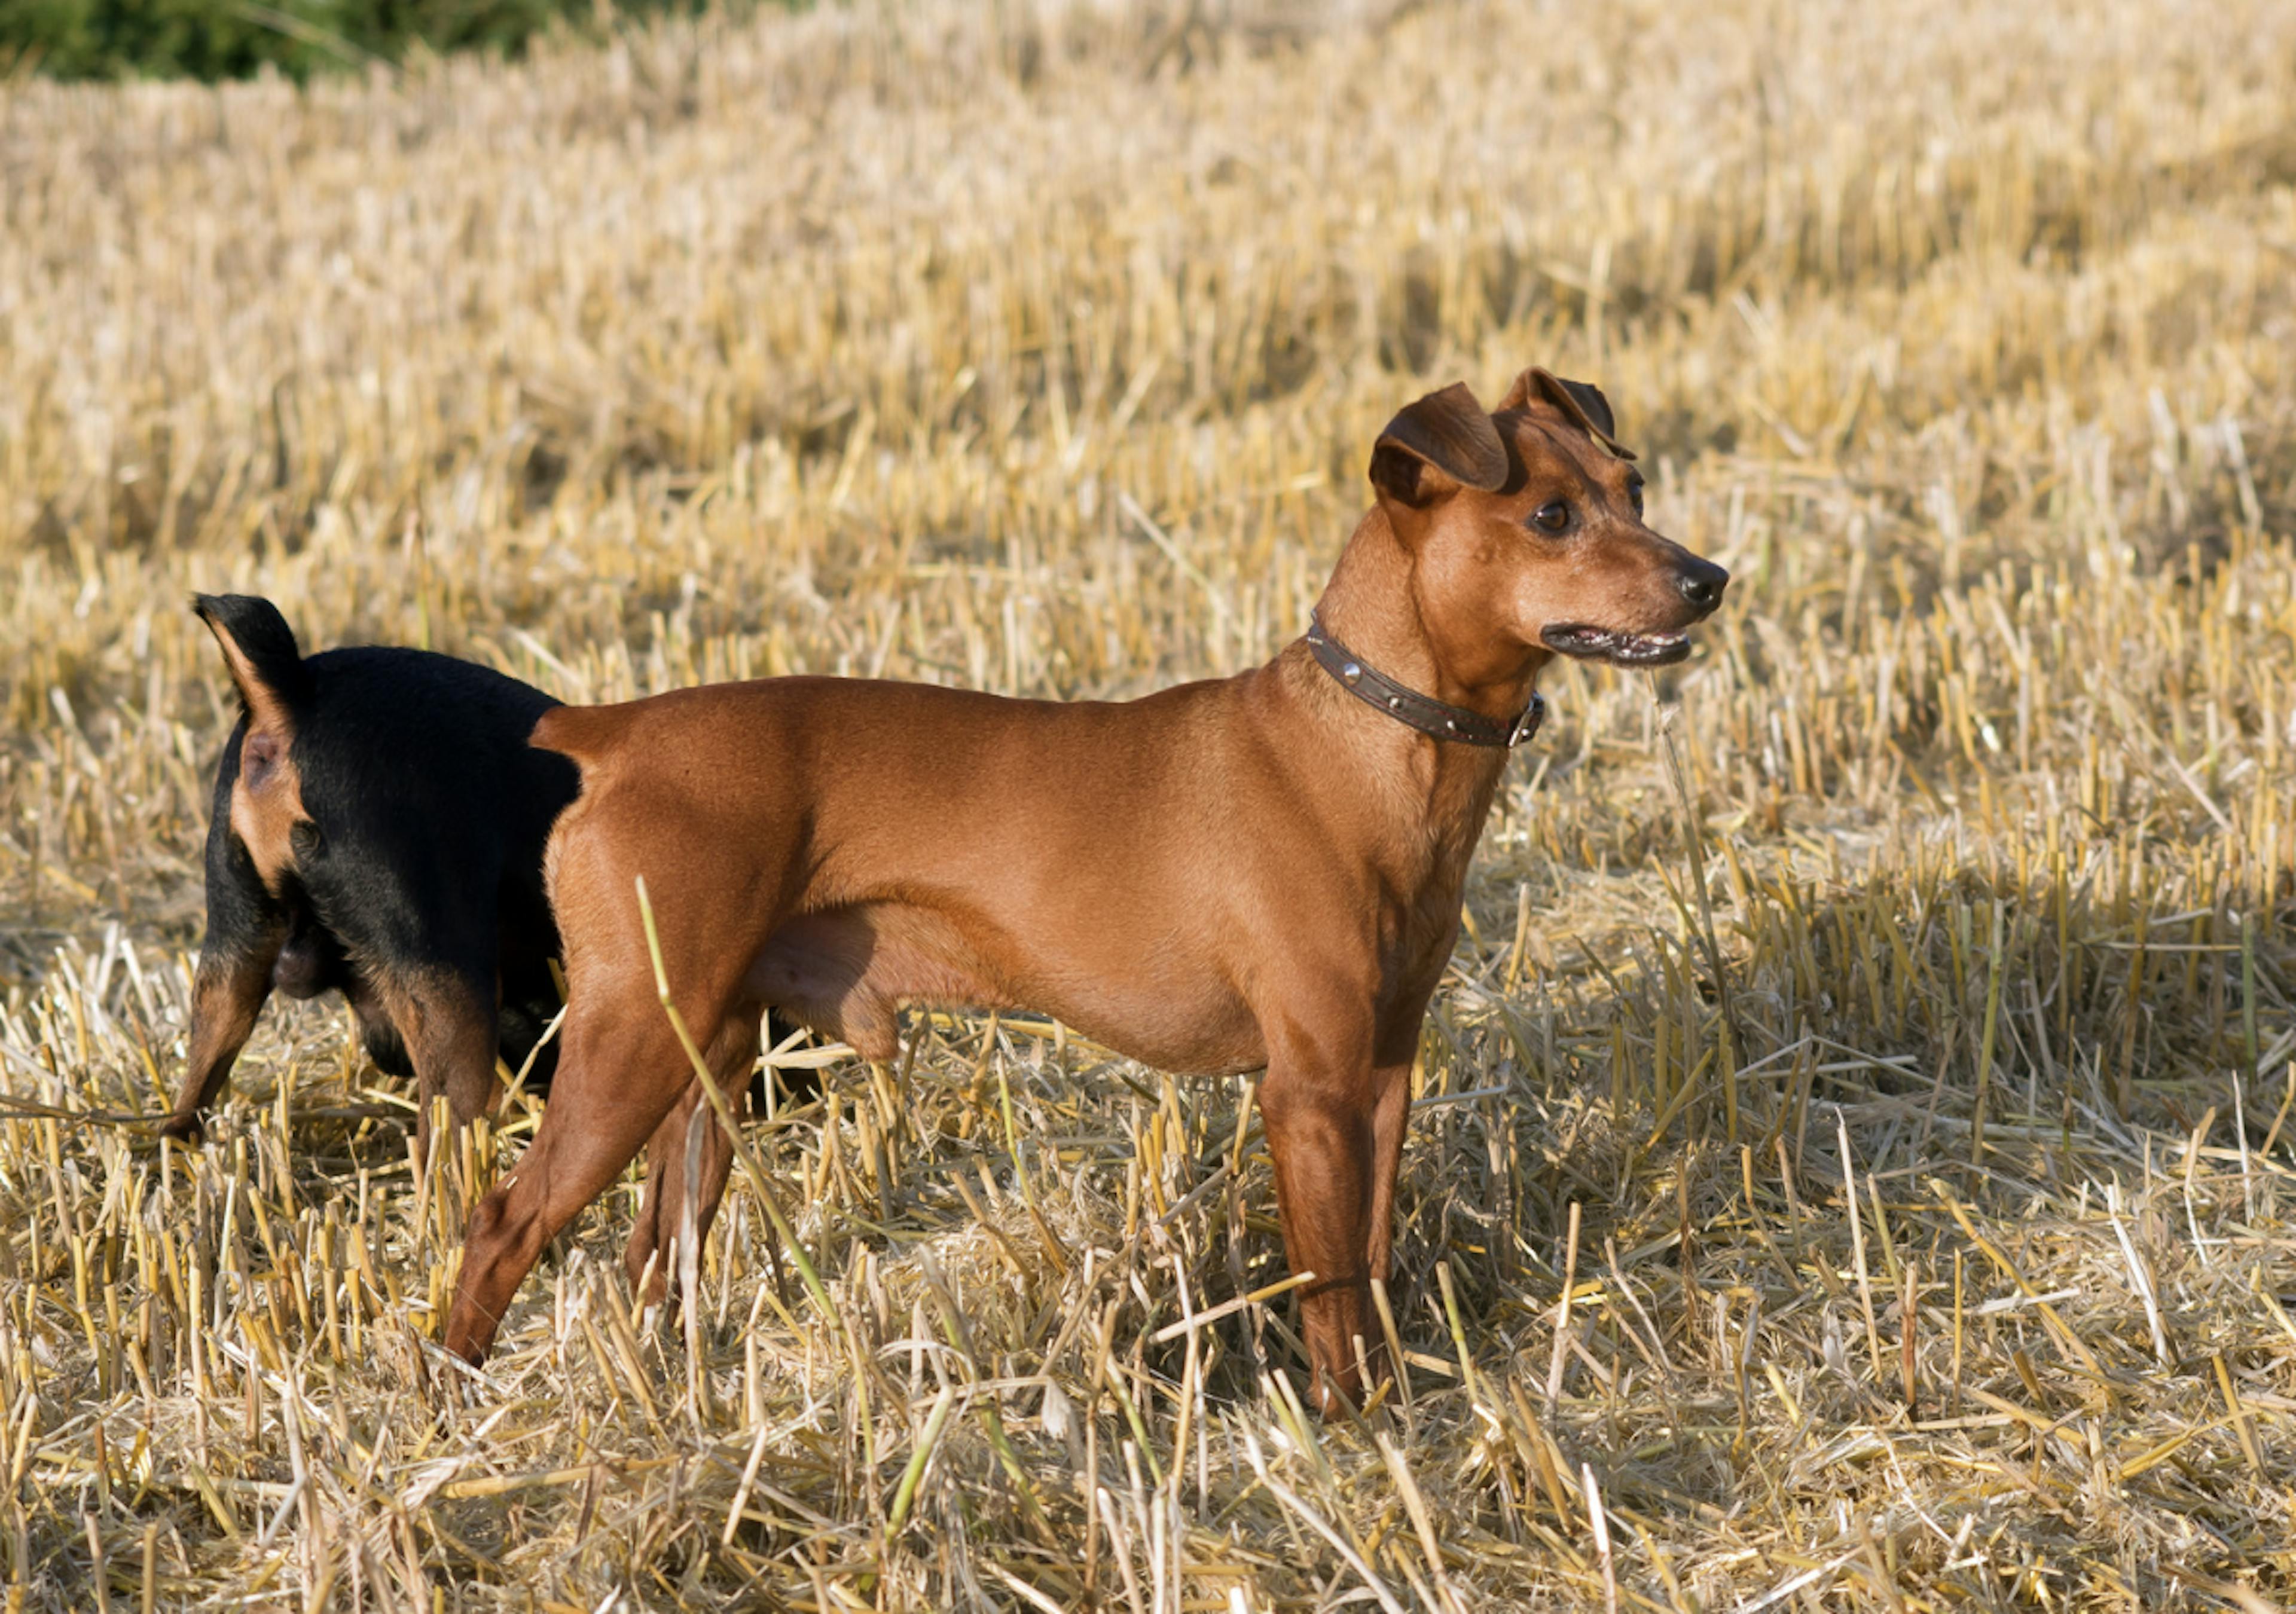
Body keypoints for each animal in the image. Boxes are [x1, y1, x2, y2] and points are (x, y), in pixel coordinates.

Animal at [438, 369, 1726, 1414]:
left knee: (654, 1249)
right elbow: (1326, 1279)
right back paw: (448, 1405)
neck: (1367, 740)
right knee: (502, 1225)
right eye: (1551, 516)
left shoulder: (1384, 1073)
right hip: (628, 1048)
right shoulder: (1308, 1091)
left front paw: (1390, 1395)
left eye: (1635, 485)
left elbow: (1368, 1253)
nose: (1710, 578)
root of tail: (612, 733)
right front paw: (1349, 1426)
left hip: (707, 1061)